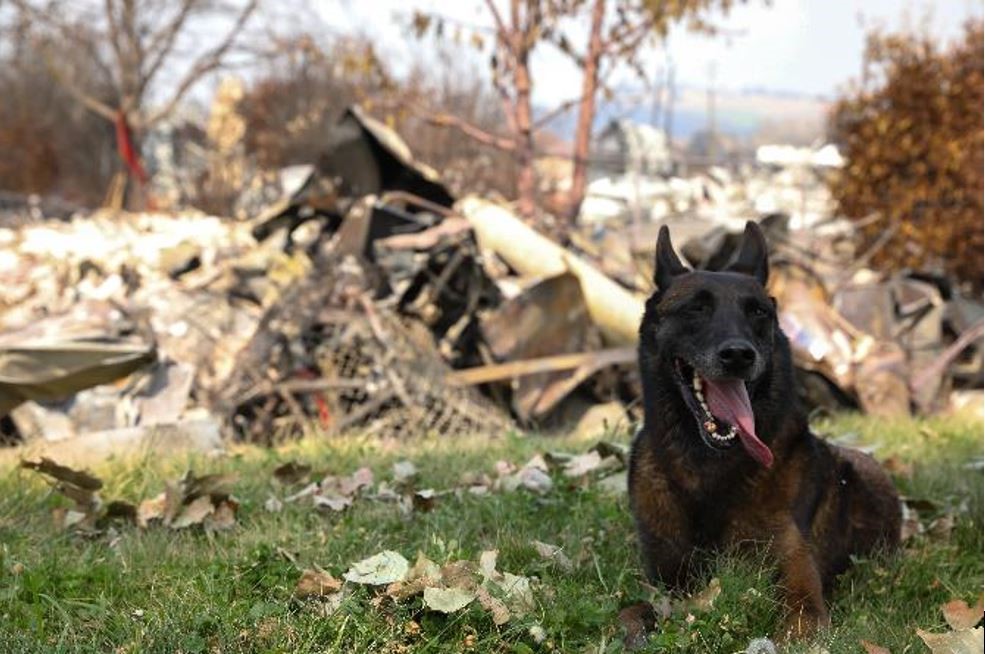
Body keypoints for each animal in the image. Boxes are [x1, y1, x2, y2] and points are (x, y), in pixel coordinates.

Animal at [632, 222, 900, 640]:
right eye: (696, 307)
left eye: (757, 311)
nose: (738, 355)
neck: (709, 471)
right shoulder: (666, 579)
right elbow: (633, 609)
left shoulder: (796, 572)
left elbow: (802, 621)